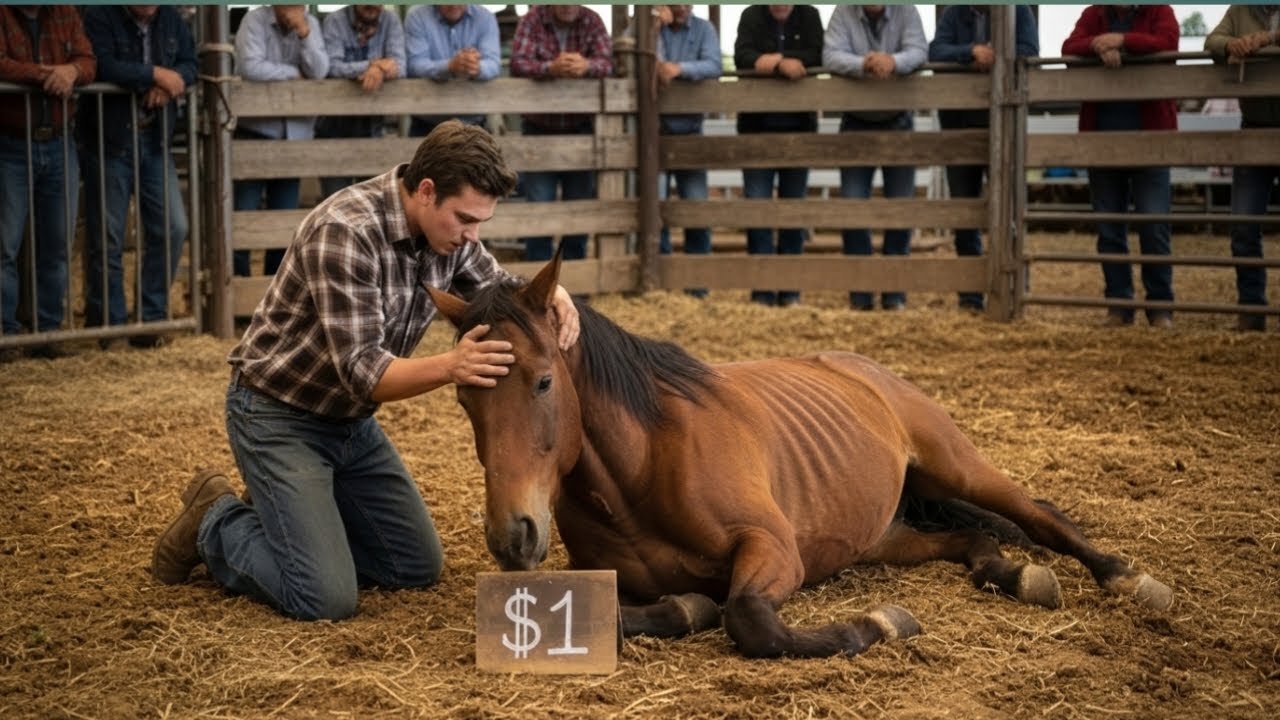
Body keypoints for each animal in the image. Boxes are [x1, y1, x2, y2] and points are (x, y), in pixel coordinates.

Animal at [427, 253, 1173, 659]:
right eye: (463, 397)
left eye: (542, 382)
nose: (512, 535)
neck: (638, 471)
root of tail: (866, 370)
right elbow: (618, 617)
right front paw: (686, 609)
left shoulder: (773, 550)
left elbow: (750, 619)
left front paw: (881, 624)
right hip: (883, 537)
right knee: (969, 540)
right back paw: (1011, 573)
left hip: (957, 464)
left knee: (1042, 515)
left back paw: (1128, 579)